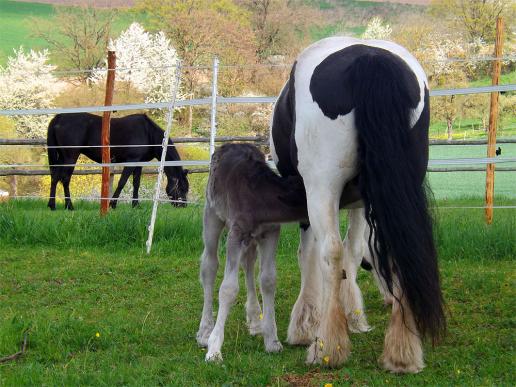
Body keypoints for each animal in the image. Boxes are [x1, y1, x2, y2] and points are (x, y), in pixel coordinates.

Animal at [46, 112, 189, 211]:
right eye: (182, 188)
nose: (183, 206)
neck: (148, 133)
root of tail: (59, 117)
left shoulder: (139, 163)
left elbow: (136, 183)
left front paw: (135, 205)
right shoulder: (131, 162)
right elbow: (122, 182)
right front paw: (112, 204)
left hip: (61, 158)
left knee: (54, 177)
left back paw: (52, 205)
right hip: (70, 157)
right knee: (65, 179)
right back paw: (69, 205)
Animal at [270, 38, 444, 374]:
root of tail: (370, 58)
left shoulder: (307, 198)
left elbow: (312, 255)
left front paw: (306, 324)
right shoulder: (362, 202)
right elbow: (353, 250)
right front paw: (353, 315)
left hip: (321, 187)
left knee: (330, 250)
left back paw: (328, 347)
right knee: (396, 247)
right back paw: (402, 352)